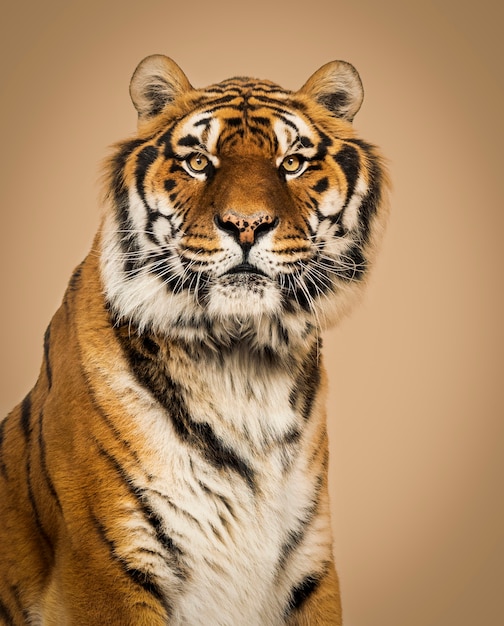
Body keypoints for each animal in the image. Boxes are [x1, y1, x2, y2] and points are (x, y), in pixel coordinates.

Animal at [0, 54, 390, 624]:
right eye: (199, 162)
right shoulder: (107, 564)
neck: (240, 361)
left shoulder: (310, 562)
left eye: (292, 162)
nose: (247, 225)